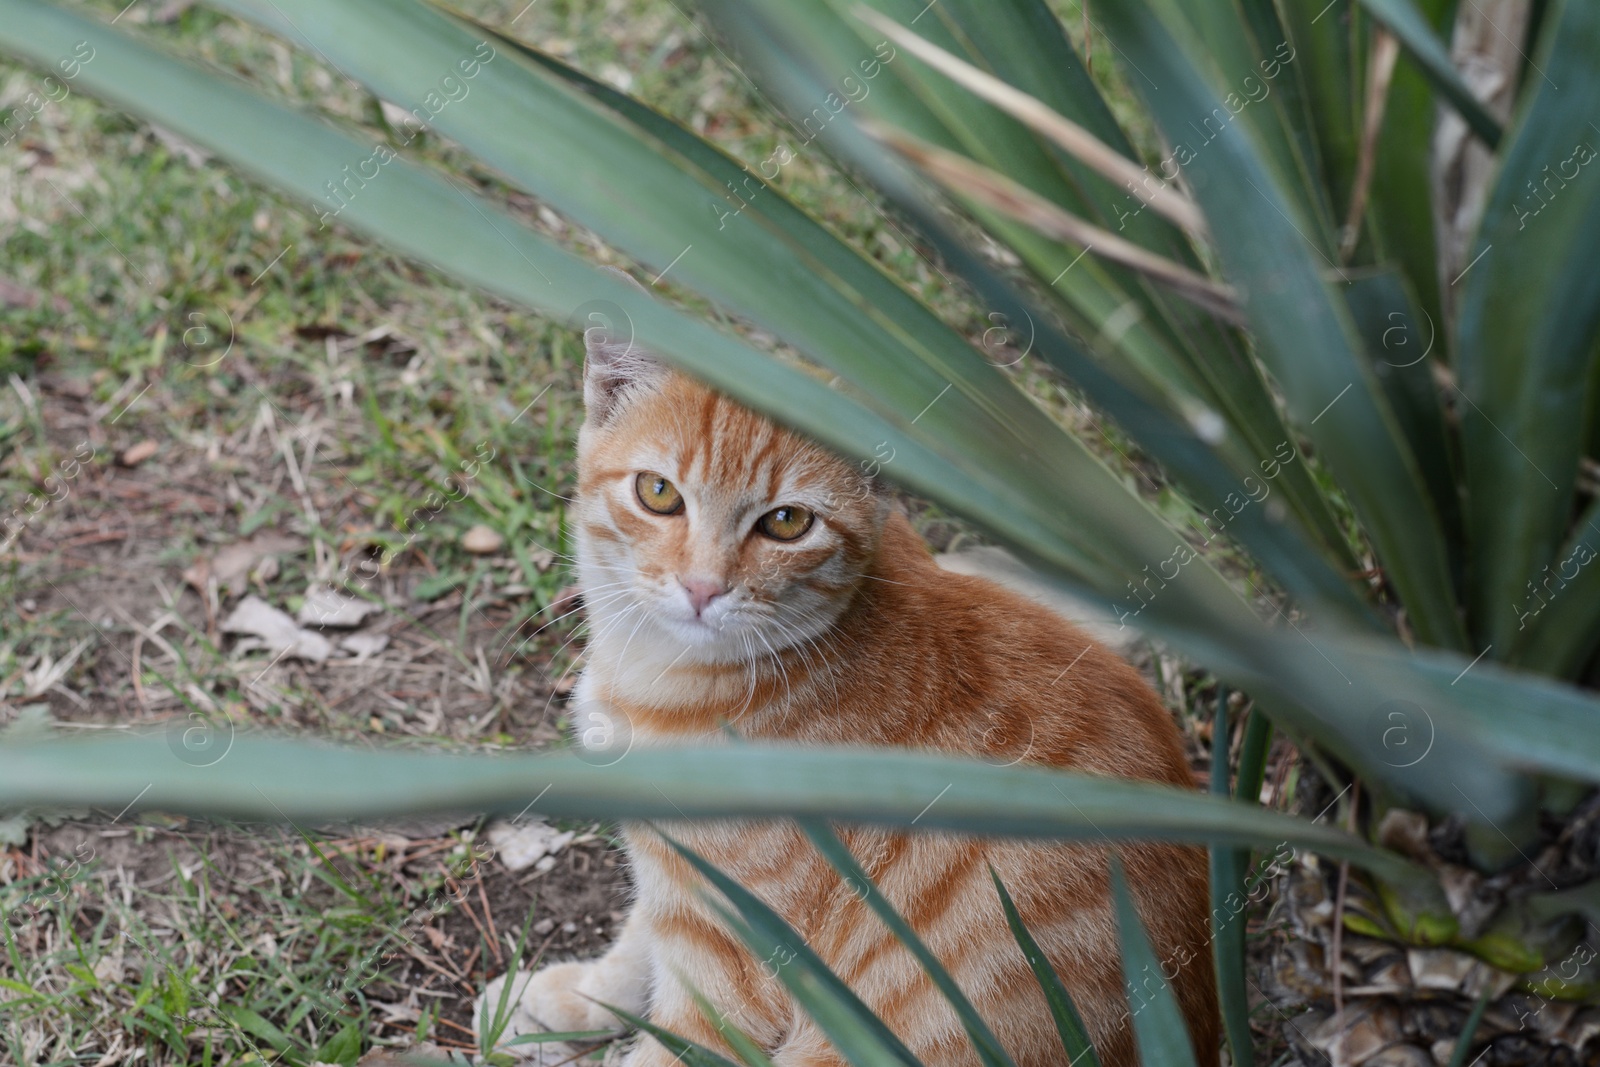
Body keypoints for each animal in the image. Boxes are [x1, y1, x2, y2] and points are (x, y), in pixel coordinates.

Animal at [473, 310, 1209, 1067]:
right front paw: (576, 996)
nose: (703, 587)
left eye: (787, 522)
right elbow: (639, 935)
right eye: (658, 493)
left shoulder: (729, 964)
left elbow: (671, 1039)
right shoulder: (669, 876)